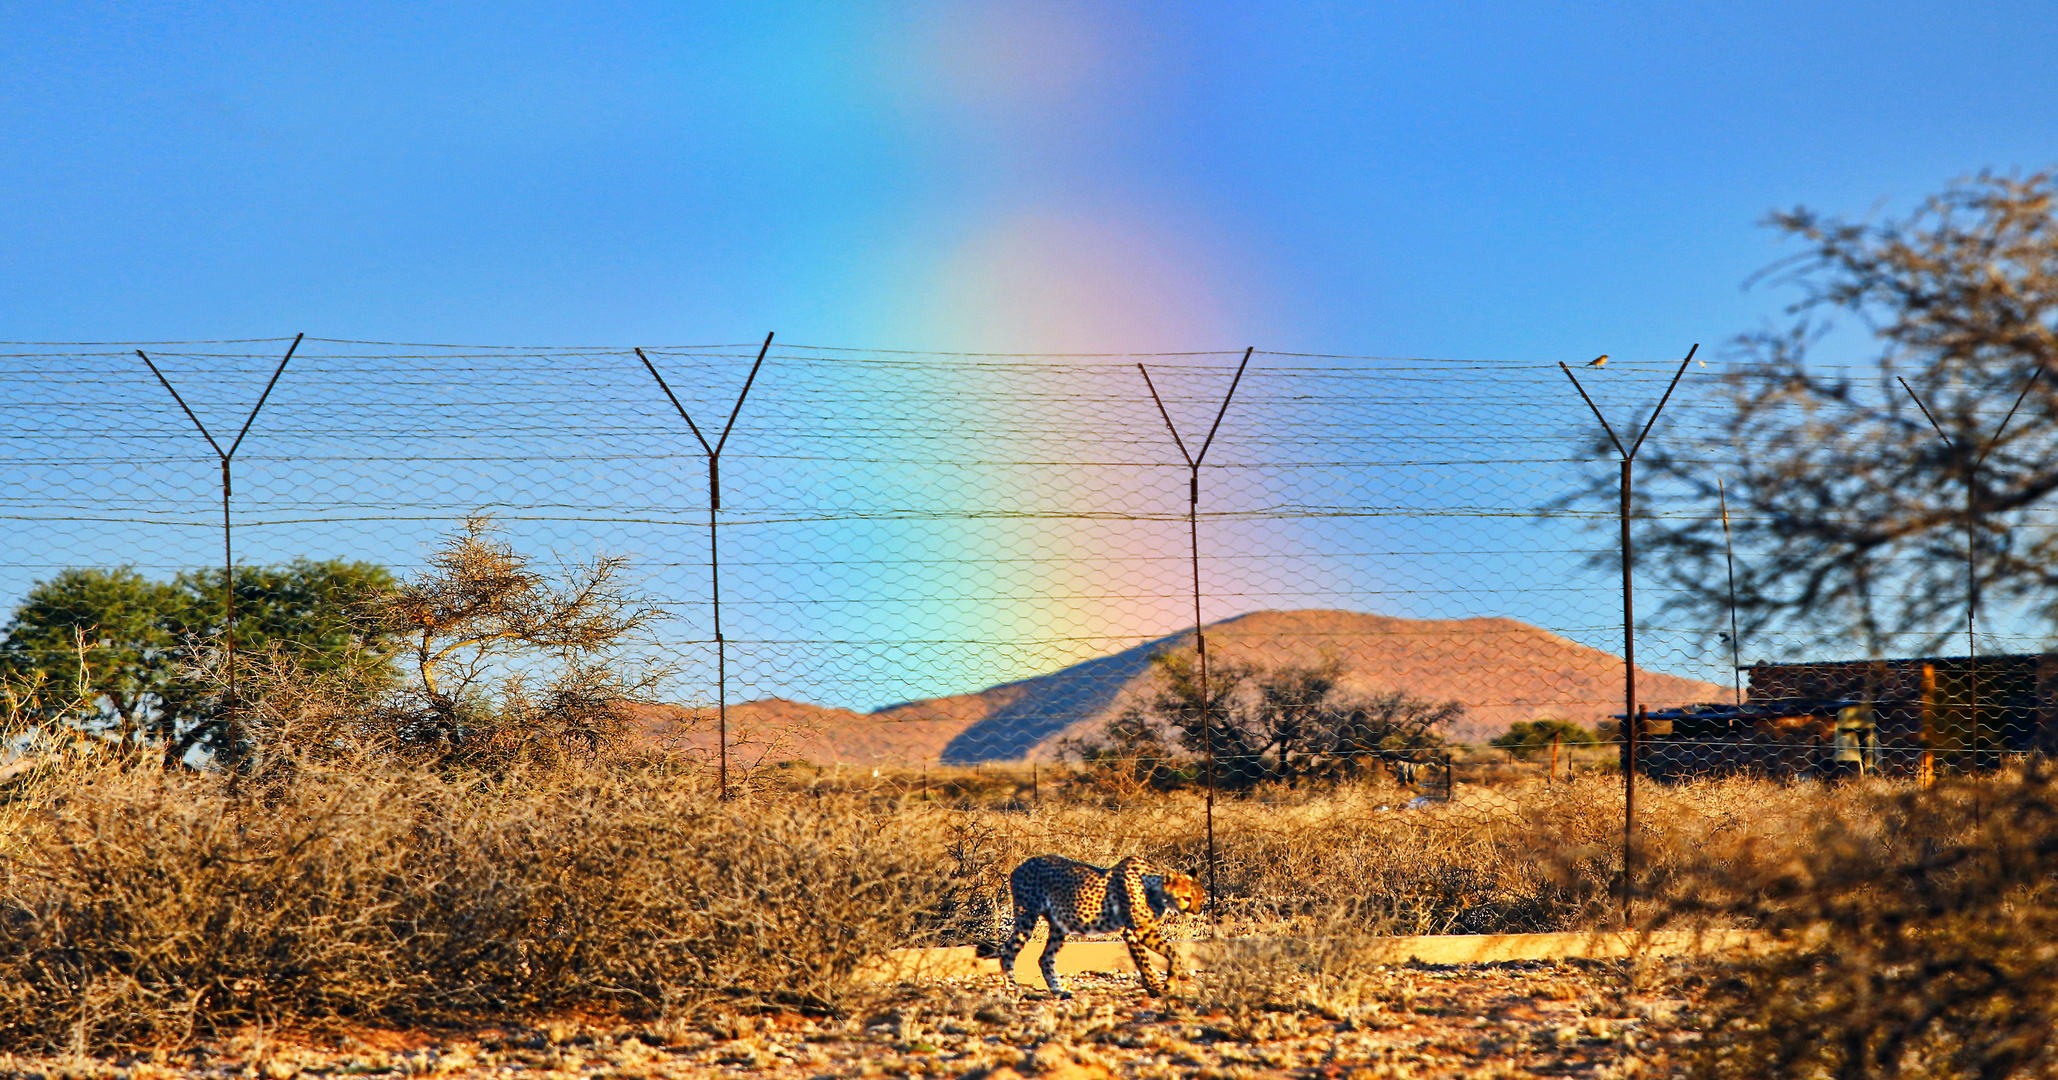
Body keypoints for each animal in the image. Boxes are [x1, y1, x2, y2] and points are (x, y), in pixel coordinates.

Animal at [983, 855, 1201, 999]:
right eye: (1186, 898)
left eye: (1201, 897)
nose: (1197, 911)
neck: (1155, 889)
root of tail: (1020, 866)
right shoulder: (1133, 931)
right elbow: (1144, 962)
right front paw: (1154, 987)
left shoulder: (1146, 930)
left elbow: (1174, 953)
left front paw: (1169, 983)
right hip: (1027, 917)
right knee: (1007, 951)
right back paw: (1012, 989)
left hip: (1059, 926)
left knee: (1045, 958)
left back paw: (1058, 990)